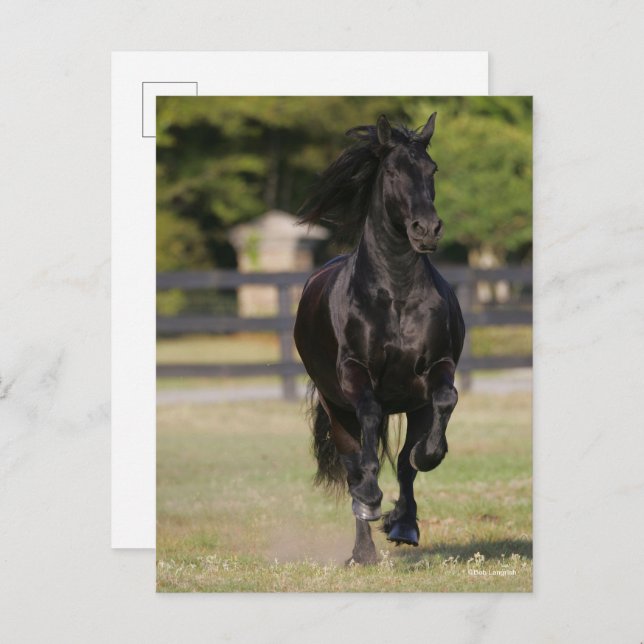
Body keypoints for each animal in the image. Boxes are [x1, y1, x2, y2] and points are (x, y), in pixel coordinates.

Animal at [293, 113, 466, 565]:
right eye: (391, 172)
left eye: (432, 170)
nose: (427, 229)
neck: (396, 295)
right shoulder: (355, 374)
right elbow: (369, 422)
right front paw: (371, 499)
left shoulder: (436, 370)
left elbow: (441, 410)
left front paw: (427, 460)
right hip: (336, 408)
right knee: (353, 463)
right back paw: (364, 545)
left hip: (413, 404)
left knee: (405, 463)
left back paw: (404, 524)